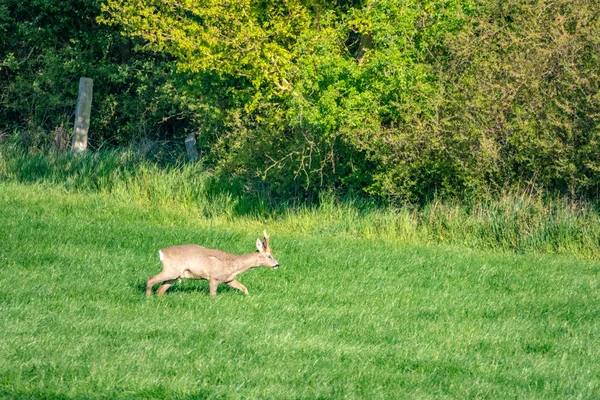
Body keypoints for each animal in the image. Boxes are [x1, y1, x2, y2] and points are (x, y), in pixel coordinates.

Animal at [145, 231, 278, 296]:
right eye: (269, 256)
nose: (277, 264)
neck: (233, 265)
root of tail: (161, 252)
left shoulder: (228, 279)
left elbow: (244, 288)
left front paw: (249, 298)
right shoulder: (214, 277)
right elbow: (213, 295)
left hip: (174, 275)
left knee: (160, 290)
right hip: (171, 270)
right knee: (150, 279)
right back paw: (148, 298)